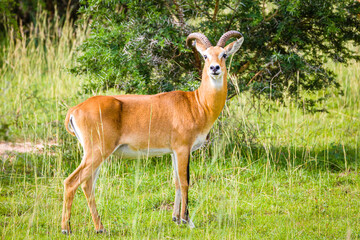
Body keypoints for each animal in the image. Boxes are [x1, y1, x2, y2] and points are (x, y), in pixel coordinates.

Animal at [61, 31, 245, 233]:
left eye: (224, 54)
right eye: (205, 56)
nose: (214, 68)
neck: (197, 104)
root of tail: (75, 109)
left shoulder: (173, 152)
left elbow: (176, 182)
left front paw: (176, 218)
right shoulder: (183, 148)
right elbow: (185, 181)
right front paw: (188, 221)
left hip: (96, 155)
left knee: (87, 185)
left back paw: (100, 228)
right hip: (97, 152)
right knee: (71, 181)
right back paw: (66, 229)